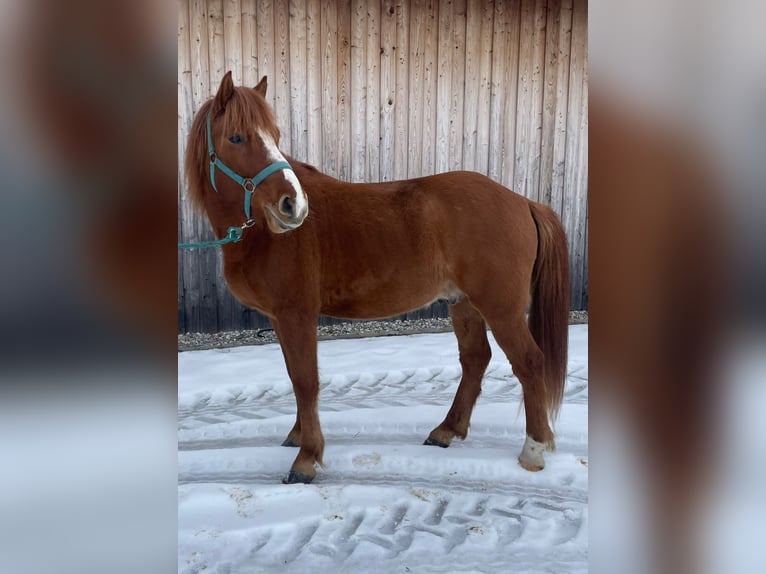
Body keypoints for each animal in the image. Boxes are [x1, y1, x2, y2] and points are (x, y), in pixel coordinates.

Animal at [184, 71, 570, 484]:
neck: (261, 235)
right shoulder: (280, 319)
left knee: (529, 362)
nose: (294, 206)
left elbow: (306, 381)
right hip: (464, 303)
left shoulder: (296, 314)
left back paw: (533, 449)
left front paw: (307, 458)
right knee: (475, 359)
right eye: (236, 138)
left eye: (275, 135)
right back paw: (446, 430)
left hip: (501, 308)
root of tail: (523, 201)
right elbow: (293, 376)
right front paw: (298, 435)